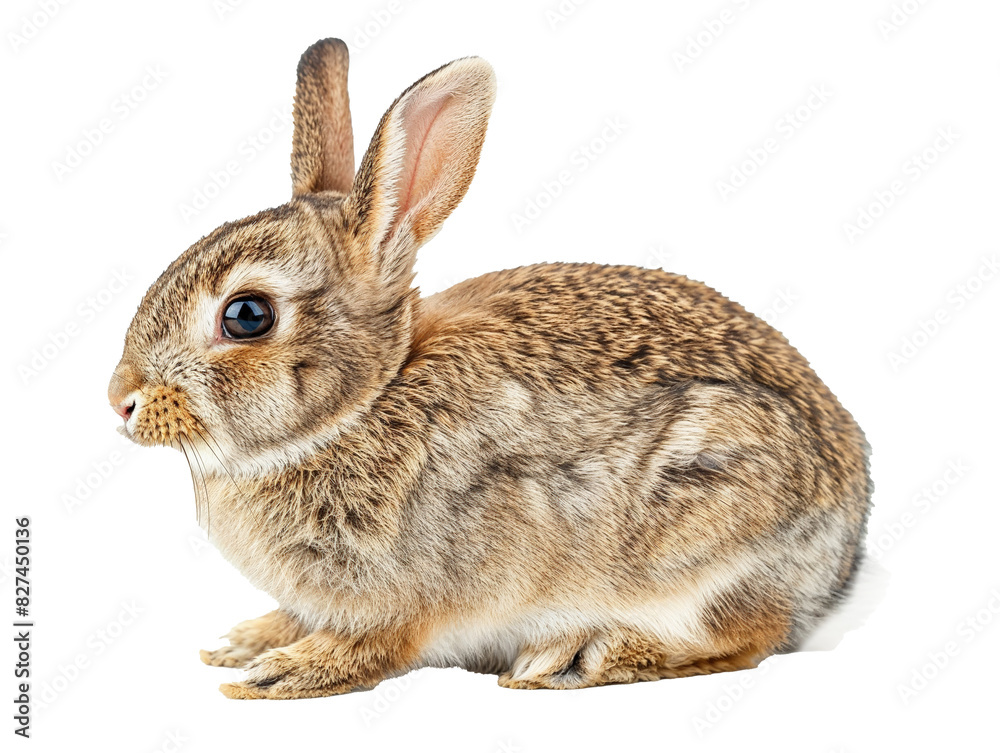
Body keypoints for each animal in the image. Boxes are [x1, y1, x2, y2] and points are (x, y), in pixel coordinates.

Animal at [107, 38, 871, 699]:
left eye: (247, 316)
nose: (121, 400)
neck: (364, 404)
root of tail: (845, 533)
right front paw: (244, 641)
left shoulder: (409, 595)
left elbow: (374, 645)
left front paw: (280, 672)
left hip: (712, 526)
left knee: (748, 634)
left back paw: (579, 656)